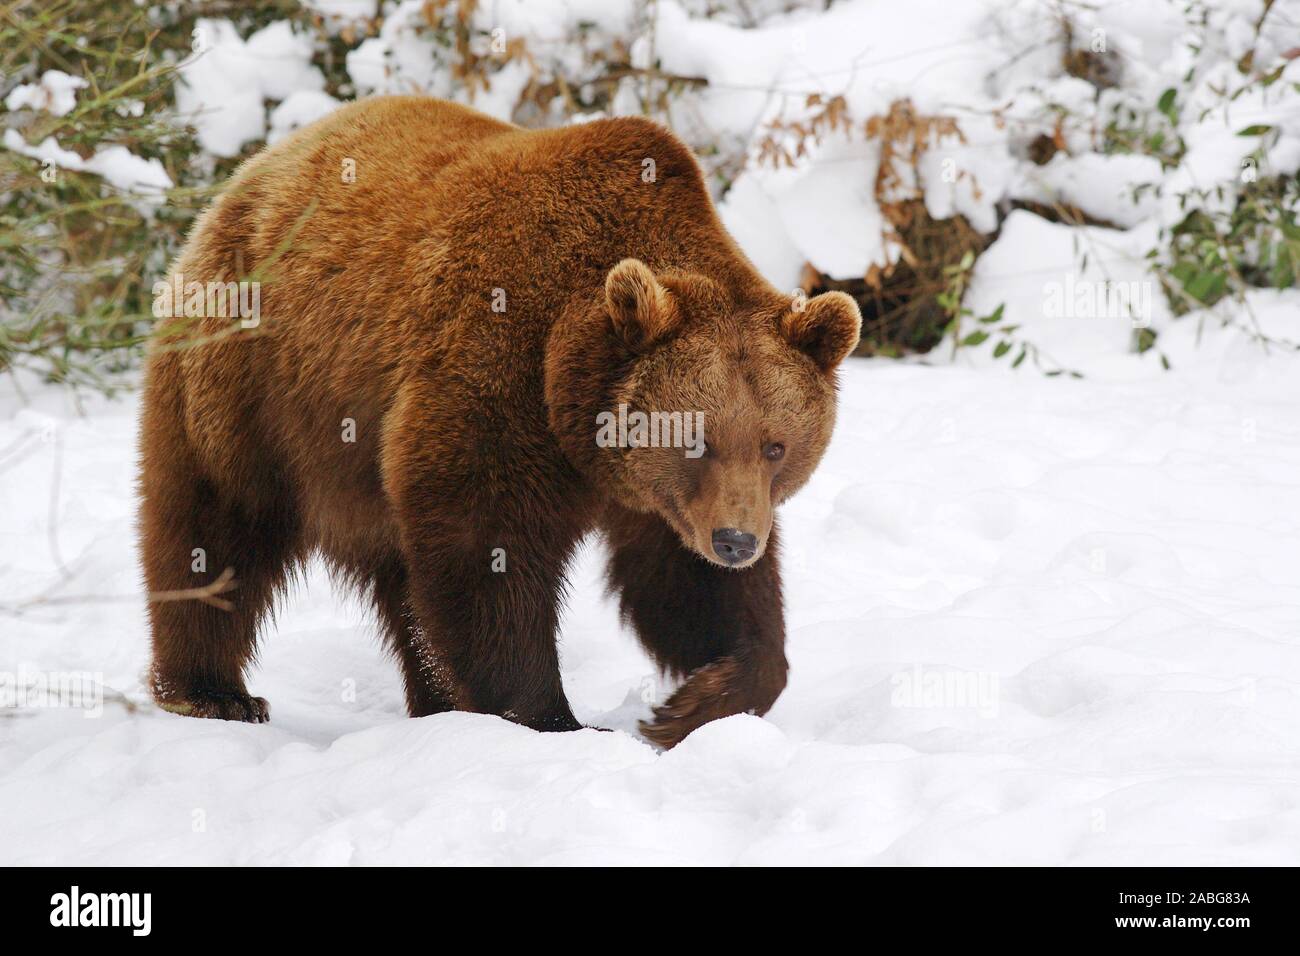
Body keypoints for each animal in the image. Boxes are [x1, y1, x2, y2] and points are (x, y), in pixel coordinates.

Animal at [137, 98, 857, 754]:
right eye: (696, 438)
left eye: (776, 445)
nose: (736, 541)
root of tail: (254, 172)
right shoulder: (499, 376)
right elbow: (488, 549)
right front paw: (555, 718)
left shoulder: (658, 496)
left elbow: (687, 585)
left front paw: (693, 703)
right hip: (253, 379)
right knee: (216, 521)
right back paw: (214, 692)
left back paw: (429, 701)